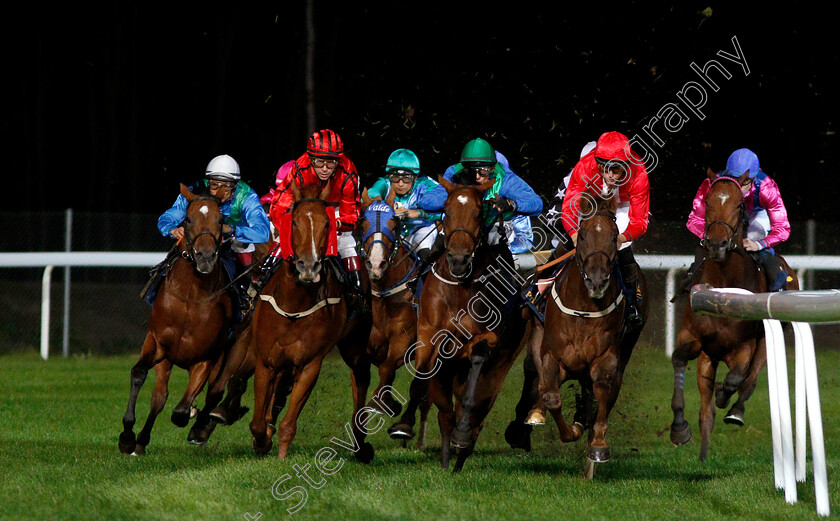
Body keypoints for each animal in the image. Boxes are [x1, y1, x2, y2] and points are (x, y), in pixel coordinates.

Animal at [119, 185, 236, 452]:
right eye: (188, 219)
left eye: (221, 219)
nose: (205, 257)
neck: (191, 300)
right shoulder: (157, 343)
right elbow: (140, 375)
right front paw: (128, 435)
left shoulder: (206, 358)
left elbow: (181, 412)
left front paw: (193, 415)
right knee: (160, 395)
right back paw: (141, 441)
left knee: (213, 393)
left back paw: (201, 426)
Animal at [386, 176, 528, 472]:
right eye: (446, 212)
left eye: (479, 213)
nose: (459, 260)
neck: (460, 289)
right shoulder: (429, 334)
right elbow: (420, 380)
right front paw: (404, 424)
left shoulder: (487, 340)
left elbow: (473, 388)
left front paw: (461, 437)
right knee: (445, 415)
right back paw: (446, 462)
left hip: (501, 367)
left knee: (475, 413)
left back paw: (460, 453)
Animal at [532, 190, 648, 476]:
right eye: (582, 236)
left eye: (614, 236)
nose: (597, 281)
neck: (584, 309)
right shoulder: (552, 354)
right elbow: (551, 396)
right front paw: (570, 428)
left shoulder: (607, 358)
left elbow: (602, 395)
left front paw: (597, 445)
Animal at [668, 171, 800, 460]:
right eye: (707, 201)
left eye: (740, 204)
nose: (717, 244)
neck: (724, 288)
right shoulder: (694, 339)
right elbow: (678, 359)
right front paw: (679, 427)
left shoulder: (744, 347)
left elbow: (736, 379)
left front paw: (724, 396)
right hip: (708, 357)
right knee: (706, 412)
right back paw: (703, 455)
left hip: (766, 343)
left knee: (749, 381)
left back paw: (735, 411)